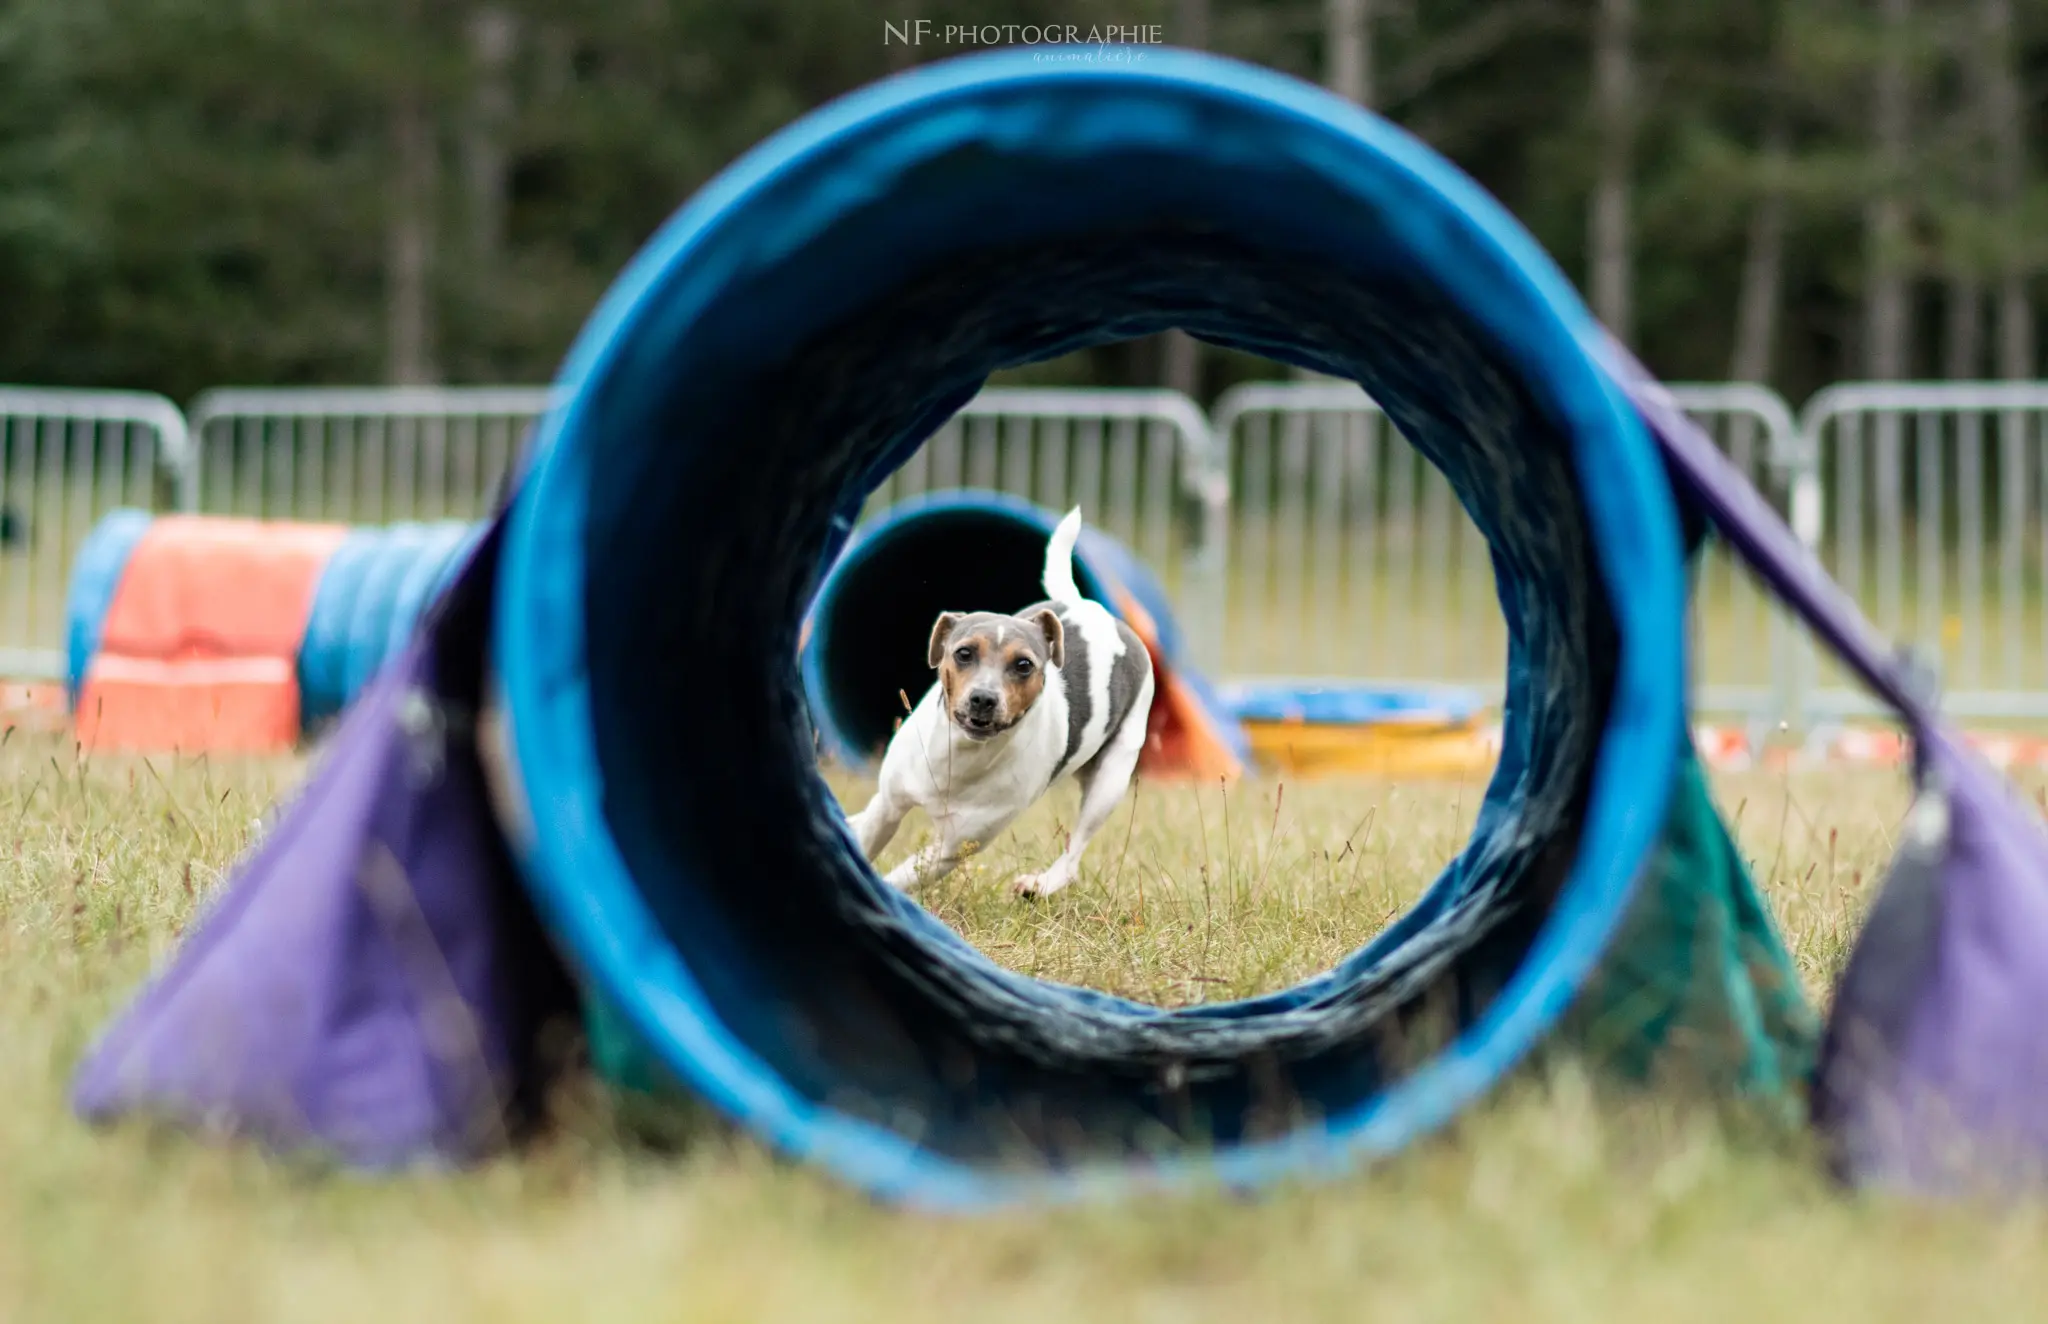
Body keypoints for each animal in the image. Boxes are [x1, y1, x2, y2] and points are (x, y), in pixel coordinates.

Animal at [843, 508, 1155, 901]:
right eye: (964, 653)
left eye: (1023, 665)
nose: (983, 698)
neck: (962, 754)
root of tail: (1089, 608)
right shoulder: (887, 806)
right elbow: (867, 839)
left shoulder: (952, 849)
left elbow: (898, 878)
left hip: (1110, 781)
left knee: (1073, 856)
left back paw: (1041, 884)